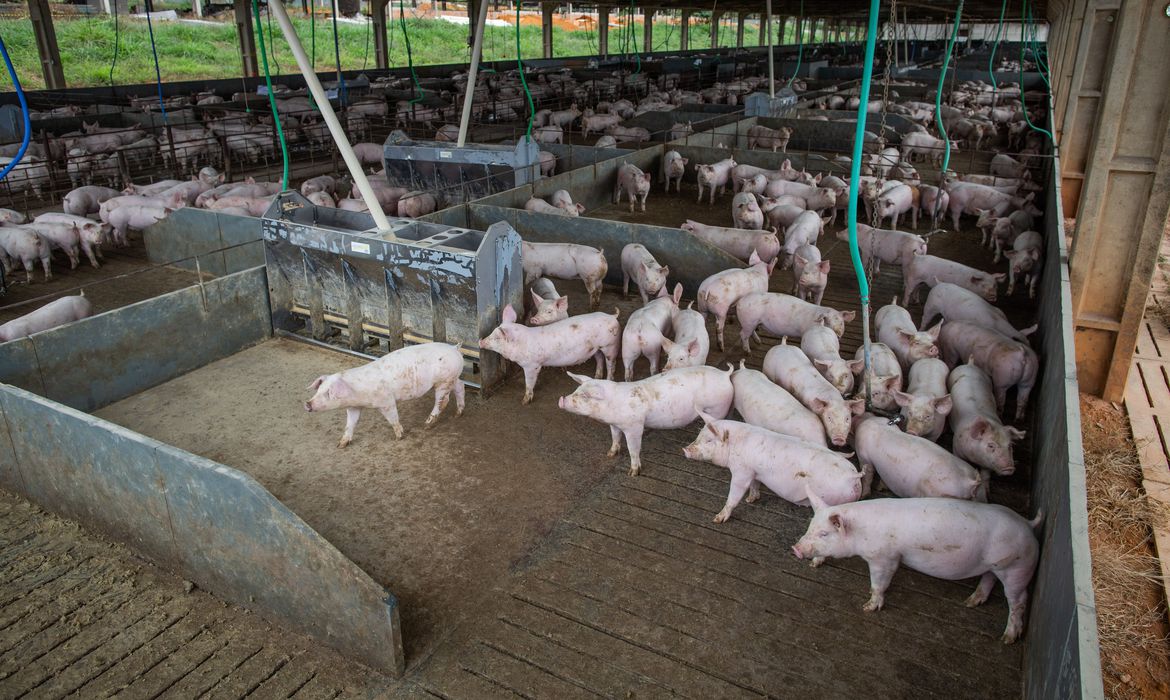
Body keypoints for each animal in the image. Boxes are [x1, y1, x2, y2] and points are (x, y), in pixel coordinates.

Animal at [304, 341, 467, 447]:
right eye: (318, 390)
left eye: (328, 393)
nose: (307, 404)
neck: (357, 393)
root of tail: (454, 348)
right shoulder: (353, 407)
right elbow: (350, 423)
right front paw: (341, 444)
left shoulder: (386, 401)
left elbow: (392, 418)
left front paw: (399, 437)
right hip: (452, 378)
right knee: (460, 386)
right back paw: (457, 414)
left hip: (443, 381)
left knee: (443, 401)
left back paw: (427, 424)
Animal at [477, 306, 627, 405]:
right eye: (492, 332)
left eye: (497, 338)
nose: (480, 341)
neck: (522, 344)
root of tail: (612, 316)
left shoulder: (532, 365)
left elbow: (529, 382)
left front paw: (524, 402)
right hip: (596, 349)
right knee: (600, 359)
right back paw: (597, 376)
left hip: (610, 345)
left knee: (611, 363)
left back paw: (608, 378)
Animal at [790, 491, 1038, 646]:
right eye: (810, 527)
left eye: (825, 533)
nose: (796, 549)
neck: (860, 533)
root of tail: (1028, 525)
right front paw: (814, 563)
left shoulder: (885, 558)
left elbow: (878, 584)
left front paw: (868, 607)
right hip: (996, 566)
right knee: (988, 578)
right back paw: (970, 602)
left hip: (1017, 568)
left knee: (1019, 600)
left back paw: (1007, 638)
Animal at [851, 416, 987, 505]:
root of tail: (969, 482)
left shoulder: (864, 457)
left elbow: (867, 476)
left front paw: (864, 496)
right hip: (979, 492)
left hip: (934, 491)